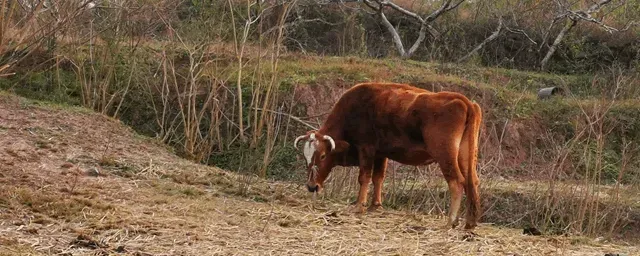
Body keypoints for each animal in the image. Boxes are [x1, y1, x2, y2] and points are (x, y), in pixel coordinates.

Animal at [294, 82, 480, 230]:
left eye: (323, 156)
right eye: (306, 158)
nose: (312, 186)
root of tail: (464, 101)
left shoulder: (366, 149)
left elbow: (365, 177)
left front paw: (359, 206)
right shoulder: (380, 154)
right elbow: (378, 178)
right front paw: (375, 205)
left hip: (445, 156)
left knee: (456, 182)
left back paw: (451, 221)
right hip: (465, 157)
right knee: (471, 182)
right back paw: (470, 222)